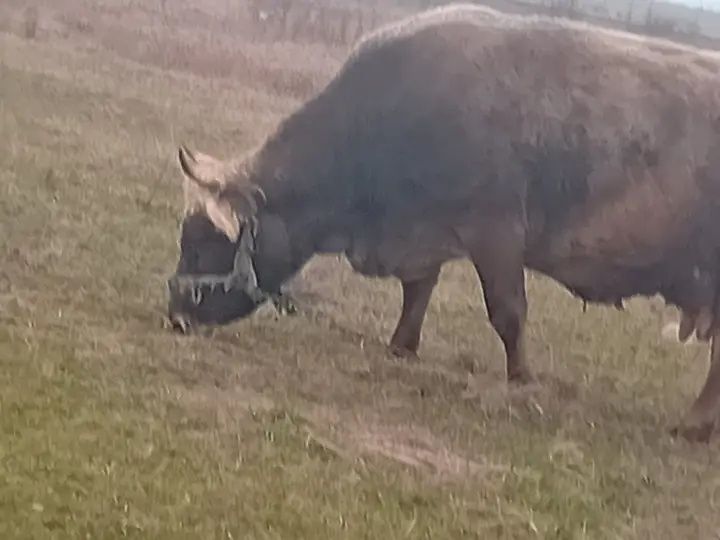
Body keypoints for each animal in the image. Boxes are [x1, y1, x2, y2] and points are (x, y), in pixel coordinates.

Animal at [165, 4, 720, 442]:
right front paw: (401, 346)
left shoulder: (495, 231)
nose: (175, 315)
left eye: (204, 244)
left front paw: (522, 381)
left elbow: (507, 312)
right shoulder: (422, 234)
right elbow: (418, 290)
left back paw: (695, 424)